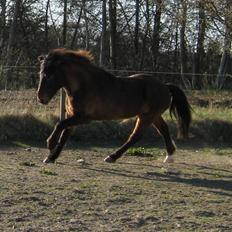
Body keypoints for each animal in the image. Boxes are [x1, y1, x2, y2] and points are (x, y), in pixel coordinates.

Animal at [37, 47, 191, 163]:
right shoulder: (72, 115)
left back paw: (112, 157)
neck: (83, 85)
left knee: (135, 136)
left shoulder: (84, 118)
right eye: (41, 73)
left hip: (147, 116)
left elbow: (60, 125)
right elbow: (64, 136)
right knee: (163, 130)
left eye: (49, 75)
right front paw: (51, 158)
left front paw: (50, 144)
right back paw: (169, 156)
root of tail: (165, 86)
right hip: (152, 115)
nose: (40, 98)